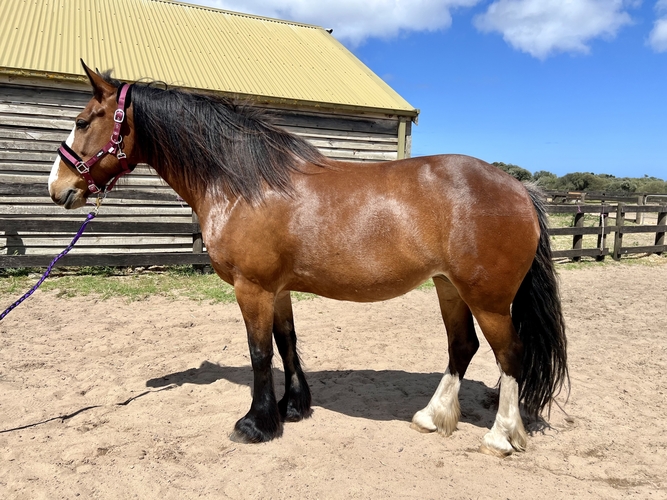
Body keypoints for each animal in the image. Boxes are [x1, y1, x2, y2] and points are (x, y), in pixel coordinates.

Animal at [48, 61, 568, 457]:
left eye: (82, 120)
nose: (57, 189)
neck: (243, 183)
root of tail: (520, 188)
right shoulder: (277, 290)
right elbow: (287, 343)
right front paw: (293, 408)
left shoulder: (253, 288)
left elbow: (259, 353)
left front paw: (256, 424)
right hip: (449, 288)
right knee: (462, 347)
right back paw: (431, 416)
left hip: (489, 299)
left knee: (510, 354)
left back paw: (501, 437)